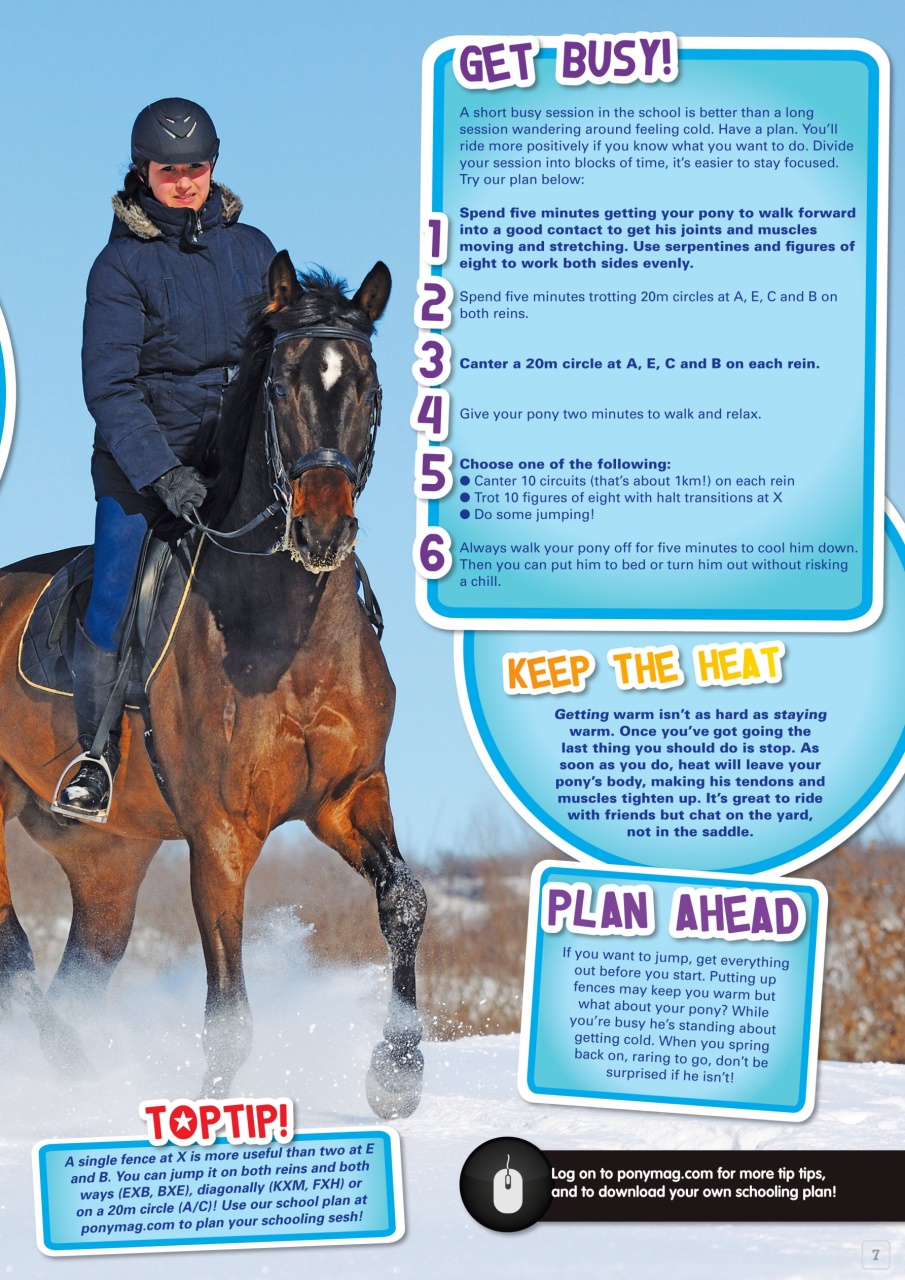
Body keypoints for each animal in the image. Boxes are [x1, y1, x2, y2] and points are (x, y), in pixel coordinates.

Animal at [0, 252, 427, 1118]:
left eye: (368, 387)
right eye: (280, 386)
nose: (321, 530)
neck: (285, 634)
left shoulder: (346, 795)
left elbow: (402, 900)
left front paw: (396, 1073)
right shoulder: (220, 835)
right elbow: (227, 1002)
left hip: (108, 858)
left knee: (80, 969)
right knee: (13, 949)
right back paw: (69, 1073)